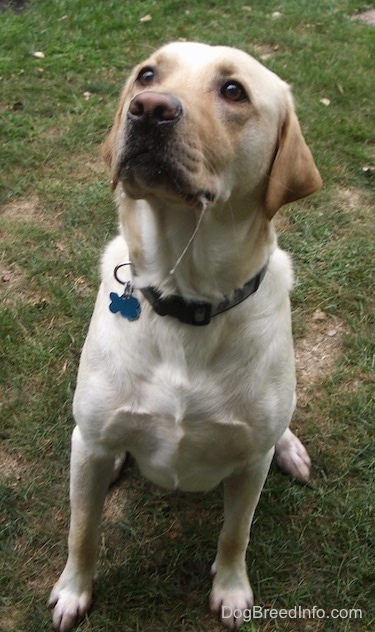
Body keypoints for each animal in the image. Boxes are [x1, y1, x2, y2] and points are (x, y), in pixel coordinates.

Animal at [48, 42, 322, 628]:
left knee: (278, 432)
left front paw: (232, 590)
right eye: (147, 75)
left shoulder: (249, 466)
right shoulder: (90, 445)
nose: (149, 110)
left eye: (234, 90)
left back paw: (290, 448)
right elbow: (83, 531)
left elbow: (235, 535)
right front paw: (73, 591)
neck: (184, 300)